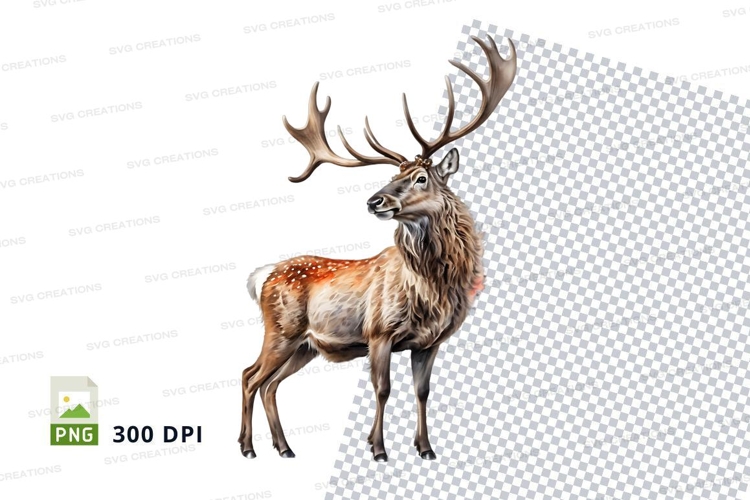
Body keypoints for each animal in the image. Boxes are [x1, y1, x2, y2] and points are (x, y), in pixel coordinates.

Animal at [239, 35, 516, 462]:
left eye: (420, 177)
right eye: (393, 176)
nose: (374, 201)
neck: (432, 288)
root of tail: (261, 276)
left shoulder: (430, 342)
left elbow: (423, 391)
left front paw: (425, 448)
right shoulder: (379, 332)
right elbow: (382, 389)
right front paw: (378, 448)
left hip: (305, 346)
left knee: (270, 384)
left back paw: (284, 448)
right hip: (281, 329)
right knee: (249, 376)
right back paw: (249, 448)